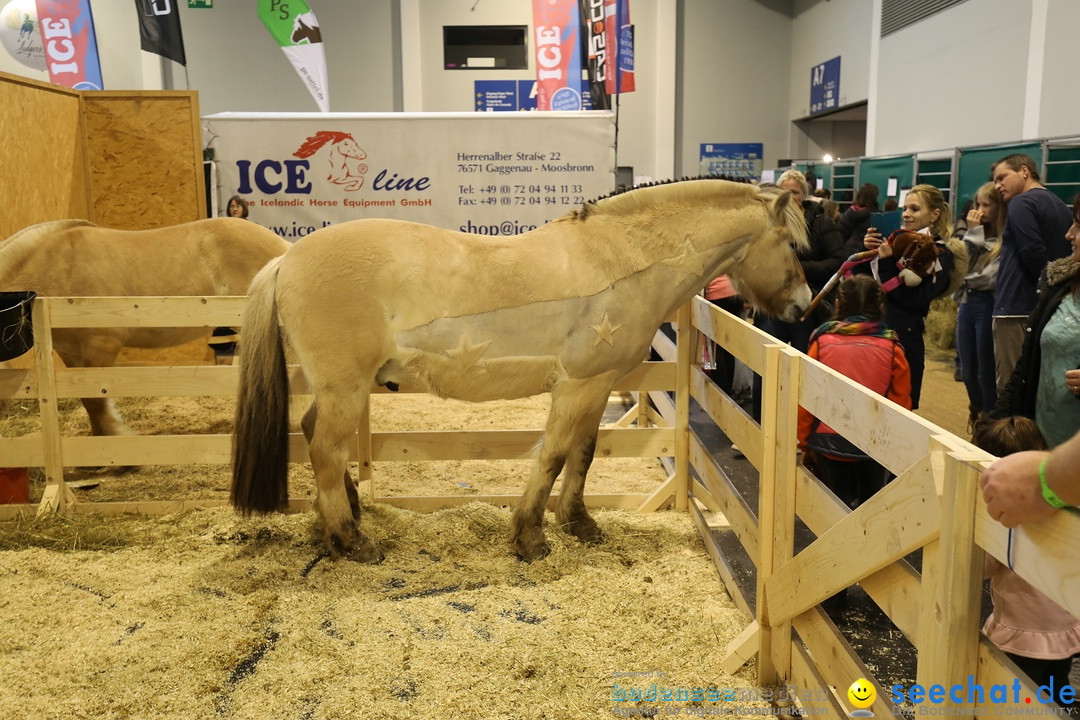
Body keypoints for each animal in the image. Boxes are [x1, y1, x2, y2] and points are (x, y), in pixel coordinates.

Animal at [232, 180, 812, 561]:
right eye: (791, 244)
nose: (804, 305)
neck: (621, 260)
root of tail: (287, 259)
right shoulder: (577, 387)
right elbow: (552, 457)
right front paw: (530, 536)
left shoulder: (597, 387)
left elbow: (582, 455)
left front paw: (579, 522)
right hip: (346, 390)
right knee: (324, 450)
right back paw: (351, 539)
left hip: (338, 391)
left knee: (314, 435)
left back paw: (341, 519)